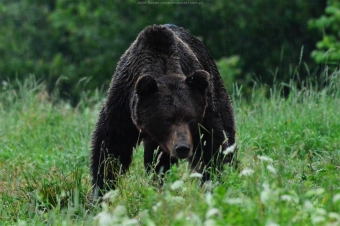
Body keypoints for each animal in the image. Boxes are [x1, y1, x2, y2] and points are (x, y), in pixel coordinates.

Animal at [89, 23, 236, 199]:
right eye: (166, 119)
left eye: (190, 118)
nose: (182, 147)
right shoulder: (122, 106)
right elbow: (111, 148)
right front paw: (101, 192)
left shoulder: (204, 111)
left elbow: (212, 145)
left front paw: (213, 182)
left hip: (215, 88)